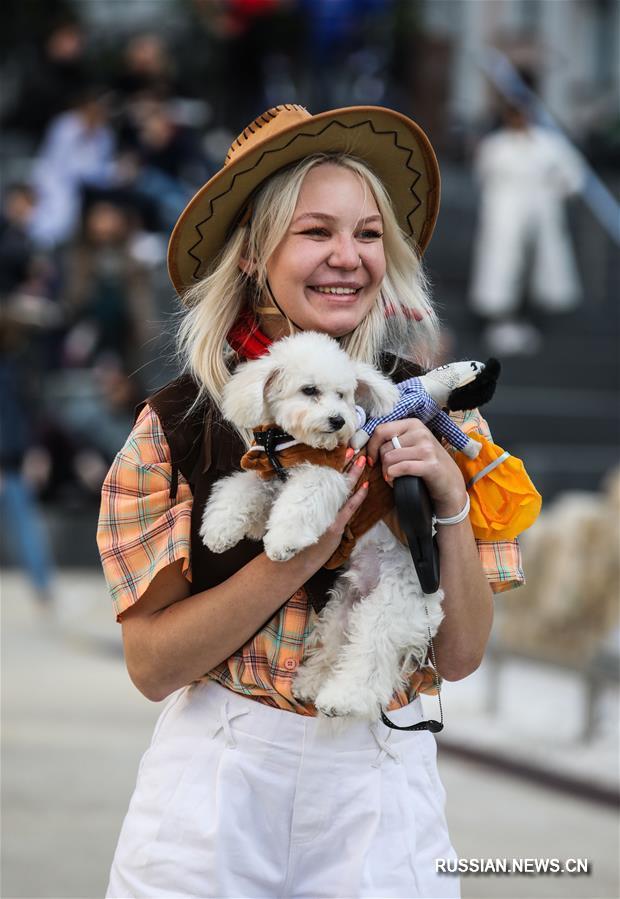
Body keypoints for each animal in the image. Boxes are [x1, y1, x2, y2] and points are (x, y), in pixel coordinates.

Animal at [201, 334, 444, 720]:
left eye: (343, 395)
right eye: (310, 390)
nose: (338, 420)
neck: (289, 444)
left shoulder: (330, 475)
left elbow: (301, 501)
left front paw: (283, 542)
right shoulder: (271, 476)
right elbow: (242, 489)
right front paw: (220, 529)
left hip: (389, 607)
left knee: (369, 658)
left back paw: (341, 699)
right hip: (343, 607)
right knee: (337, 645)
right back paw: (311, 684)